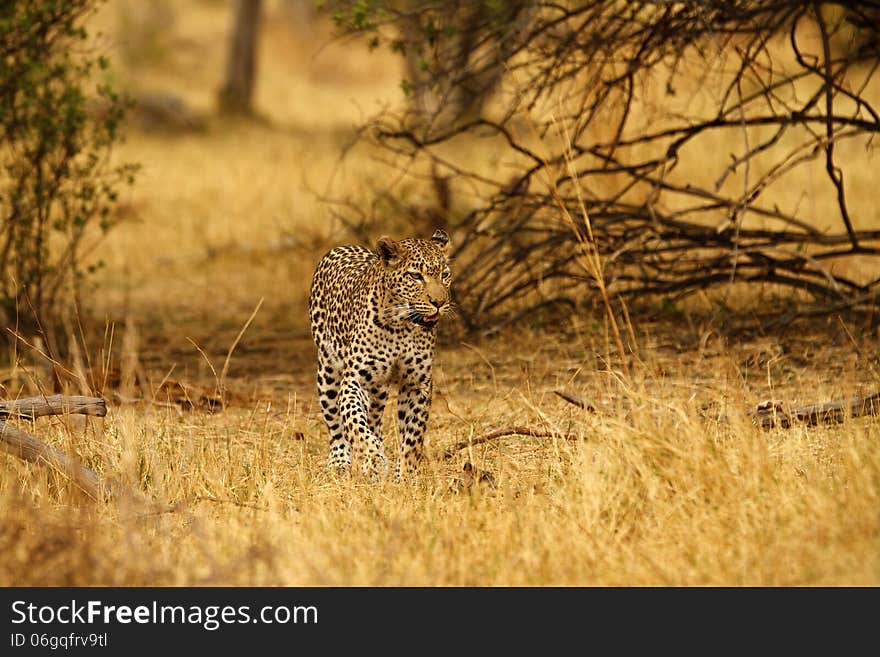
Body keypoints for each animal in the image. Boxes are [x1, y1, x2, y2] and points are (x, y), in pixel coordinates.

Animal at [308, 228, 454, 480]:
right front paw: (374, 459)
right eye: (416, 276)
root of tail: (342, 246)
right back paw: (340, 463)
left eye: (445, 275)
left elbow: (412, 435)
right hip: (327, 373)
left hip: (378, 389)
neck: (401, 326)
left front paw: (404, 474)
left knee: (374, 419)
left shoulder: (417, 384)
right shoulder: (354, 381)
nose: (439, 302)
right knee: (336, 427)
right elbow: (355, 423)